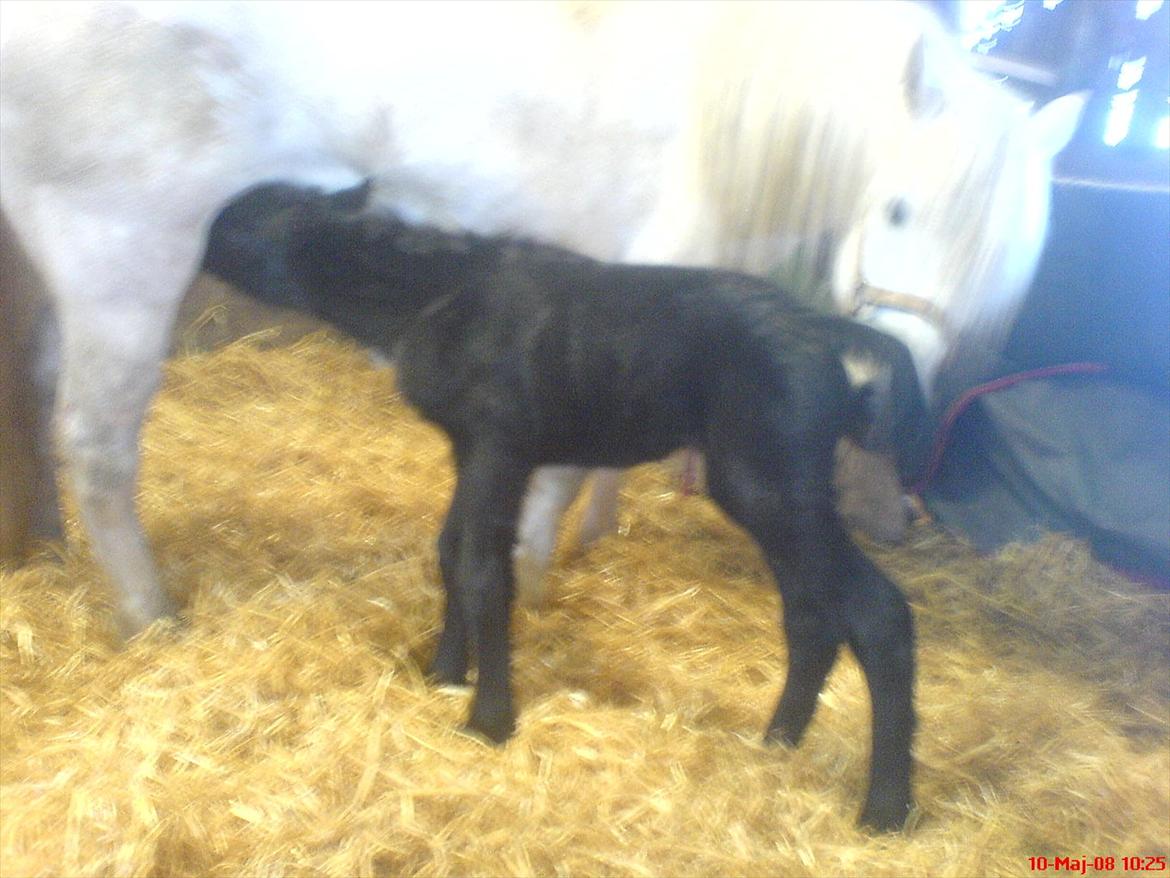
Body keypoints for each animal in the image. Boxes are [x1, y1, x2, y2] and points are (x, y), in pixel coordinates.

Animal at [0, 1, 1085, 637]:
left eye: (1002, 272)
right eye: (897, 209)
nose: (896, 379)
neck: (729, 116)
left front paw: (589, 537)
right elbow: (570, 464)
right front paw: (534, 565)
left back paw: (52, 553)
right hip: (124, 257)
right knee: (96, 444)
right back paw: (149, 615)